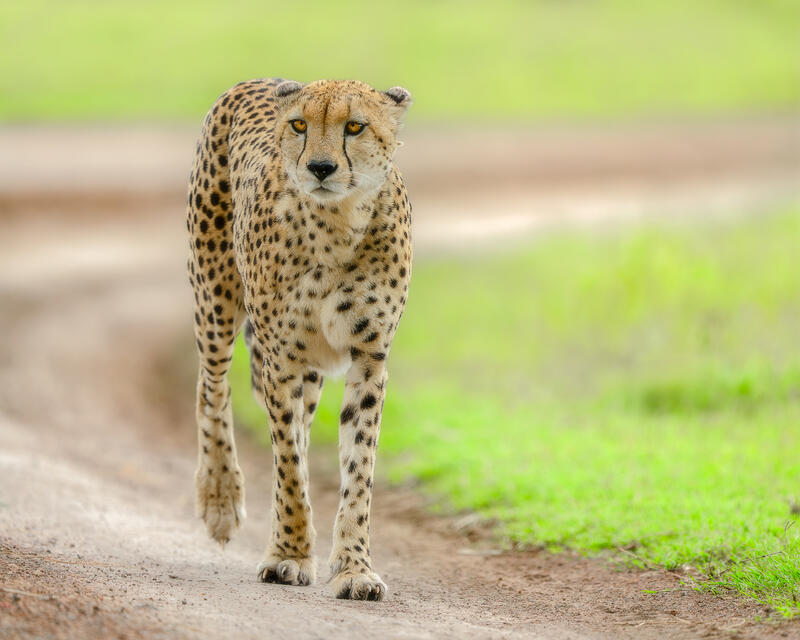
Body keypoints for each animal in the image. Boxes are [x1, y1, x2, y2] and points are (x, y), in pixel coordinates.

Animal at [186, 77, 412, 601]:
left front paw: (354, 568)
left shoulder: (369, 359)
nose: (320, 167)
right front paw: (288, 554)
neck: (337, 224)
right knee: (212, 387)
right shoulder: (281, 358)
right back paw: (220, 499)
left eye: (355, 126)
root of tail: (257, 80)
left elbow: (358, 470)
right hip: (216, 297)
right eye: (299, 125)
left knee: (303, 430)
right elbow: (288, 464)